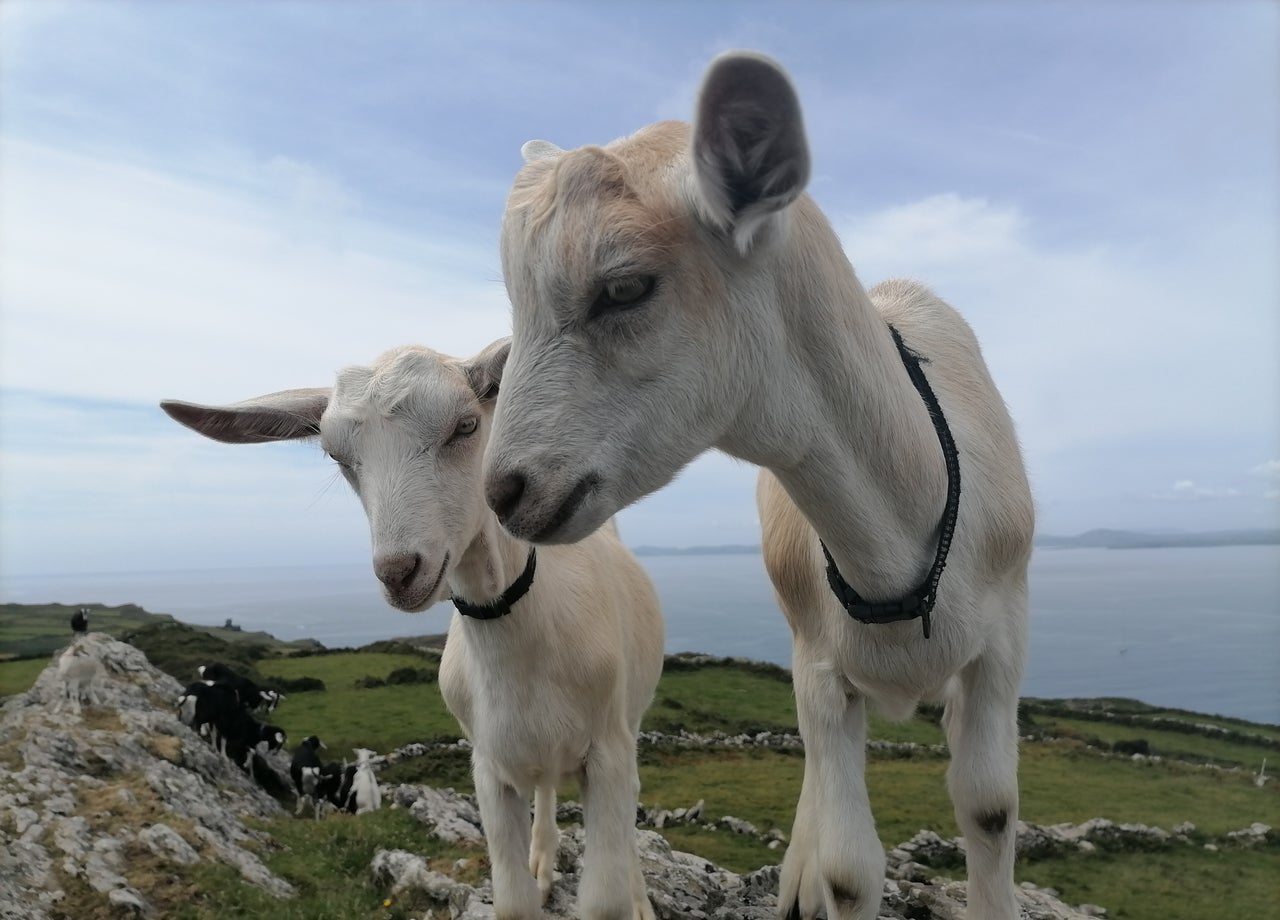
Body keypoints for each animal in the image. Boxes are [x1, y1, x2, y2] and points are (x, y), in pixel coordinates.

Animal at [160, 340, 665, 919]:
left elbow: (606, 895)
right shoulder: (489, 768)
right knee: (545, 790)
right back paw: (542, 862)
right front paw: (532, 879)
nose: (399, 572)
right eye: (337, 456)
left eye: (467, 425)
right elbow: (513, 899)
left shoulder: (608, 754)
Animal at [481, 51, 1034, 920]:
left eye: (624, 287)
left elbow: (988, 809)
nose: (503, 491)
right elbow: (849, 866)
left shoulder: (1002, 646)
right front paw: (820, 876)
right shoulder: (821, 668)